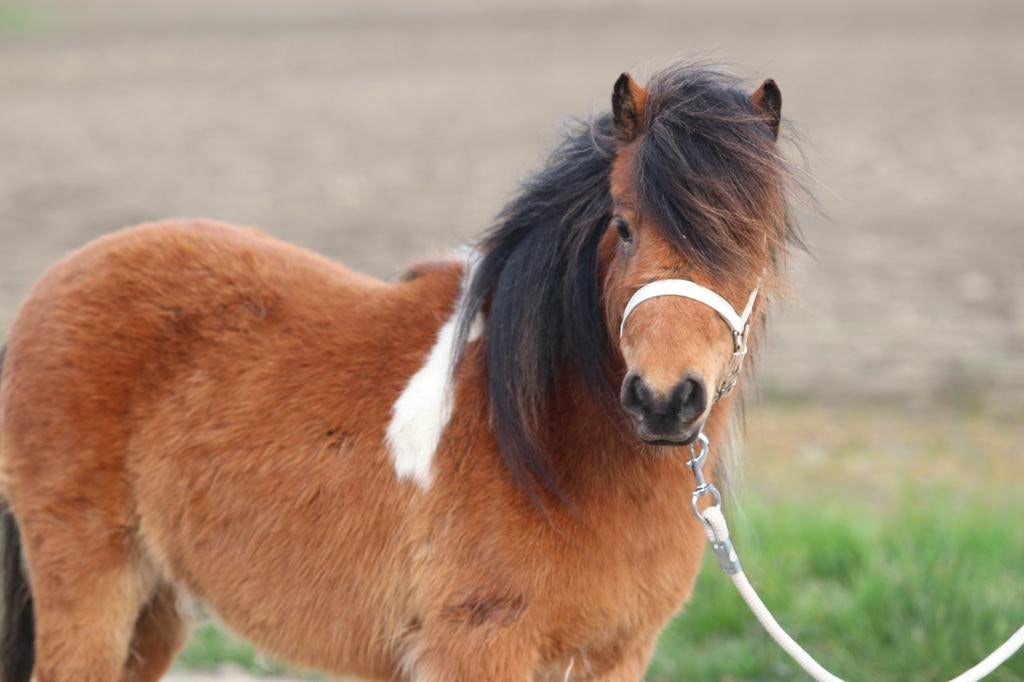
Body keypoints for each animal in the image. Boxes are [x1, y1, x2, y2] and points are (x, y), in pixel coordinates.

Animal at [0, 63, 796, 681]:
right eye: (624, 227)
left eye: (754, 240)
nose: (664, 401)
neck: (548, 449)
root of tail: (49, 287)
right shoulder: (477, 647)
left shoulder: (615, 656)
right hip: (91, 594)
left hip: (156, 610)